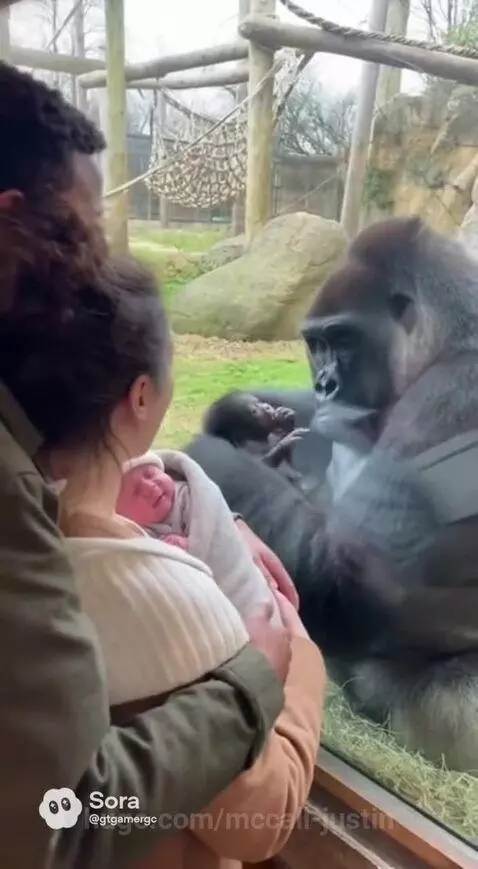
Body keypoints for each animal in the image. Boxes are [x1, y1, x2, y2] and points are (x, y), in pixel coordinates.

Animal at [185, 217, 478, 773]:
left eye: (343, 339)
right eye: (316, 344)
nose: (325, 384)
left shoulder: (455, 397)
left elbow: (362, 580)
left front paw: (214, 457)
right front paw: (241, 420)